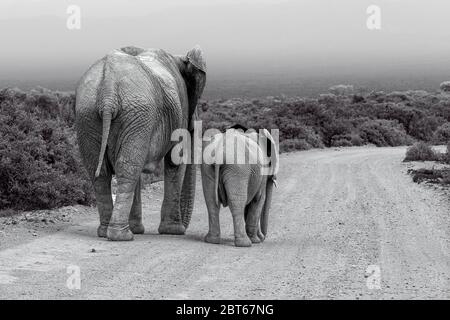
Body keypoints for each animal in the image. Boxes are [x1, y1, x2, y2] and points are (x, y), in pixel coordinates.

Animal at [75, 45, 206, 240]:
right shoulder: (180, 108)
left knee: (103, 173)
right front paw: (173, 231)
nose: (184, 228)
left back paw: (106, 232)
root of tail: (108, 89)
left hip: (90, 114)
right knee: (127, 168)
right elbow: (176, 161)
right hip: (134, 113)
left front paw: (140, 229)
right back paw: (121, 236)